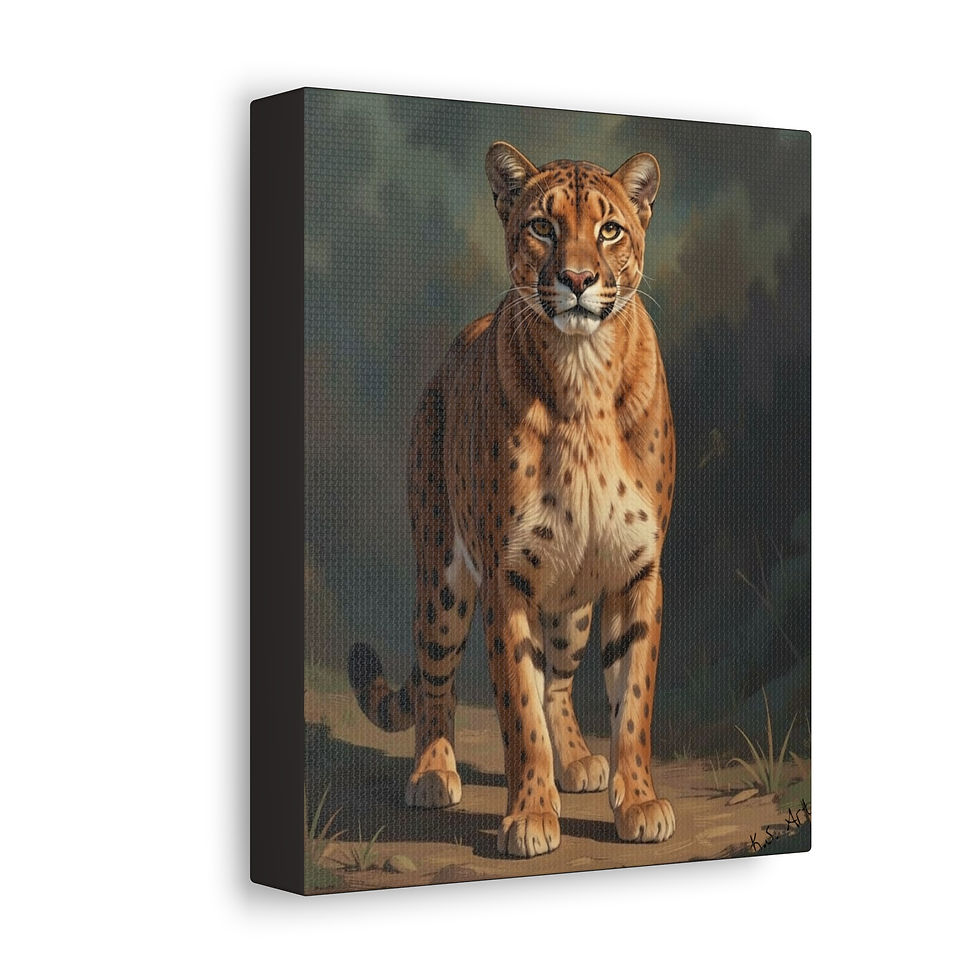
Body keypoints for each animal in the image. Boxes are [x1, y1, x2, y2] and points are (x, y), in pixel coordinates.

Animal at [348, 141, 676, 857]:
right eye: (543, 227)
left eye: (610, 229)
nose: (578, 278)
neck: (583, 372)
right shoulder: (508, 577)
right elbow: (518, 712)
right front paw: (529, 816)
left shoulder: (636, 570)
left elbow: (633, 702)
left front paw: (638, 802)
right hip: (442, 580)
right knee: (436, 677)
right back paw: (433, 773)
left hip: (574, 603)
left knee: (560, 677)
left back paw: (577, 760)